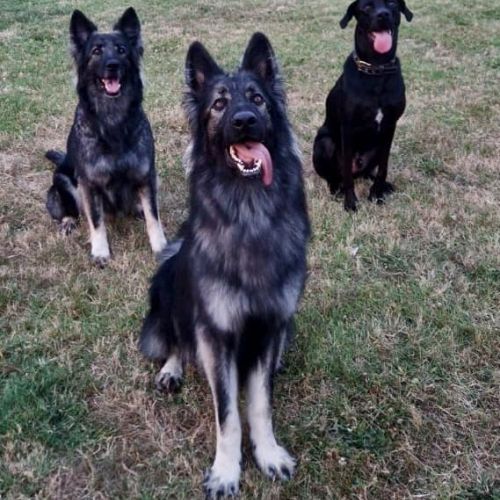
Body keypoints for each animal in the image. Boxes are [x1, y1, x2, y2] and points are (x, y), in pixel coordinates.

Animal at [45, 8, 166, 265]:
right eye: (96, 51)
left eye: (121, 50)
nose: (112, 65)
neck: (113, 120)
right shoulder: (89, 185)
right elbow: (96, 221)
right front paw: (100, 252)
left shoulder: (146, 176)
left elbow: (154, 216)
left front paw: (161, 247)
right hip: (62, 181)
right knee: (69, 211)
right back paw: (68, 222)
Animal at [138, 33, 310, 497]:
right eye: (219, 104)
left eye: (257, 98)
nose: (245, 120)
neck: (248, 212)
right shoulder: (216, 336)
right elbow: (228, 415)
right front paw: (226, 471)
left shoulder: (268, 327)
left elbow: (260, 404)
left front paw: (268, 455)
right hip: (167, 286)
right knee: (176, 338)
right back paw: (172, 368)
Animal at [313, 0, 413, 211]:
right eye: (366, 7)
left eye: (392, 4)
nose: (383, 15)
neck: (376, 69)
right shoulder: (348, 127)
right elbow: (347, 177)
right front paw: (350, 202)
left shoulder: (390, 126)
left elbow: (383, 167)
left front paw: (377, 193)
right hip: (324, 143)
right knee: (336, 176)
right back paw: (337, 190)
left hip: (376, 147)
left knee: (368, 172)